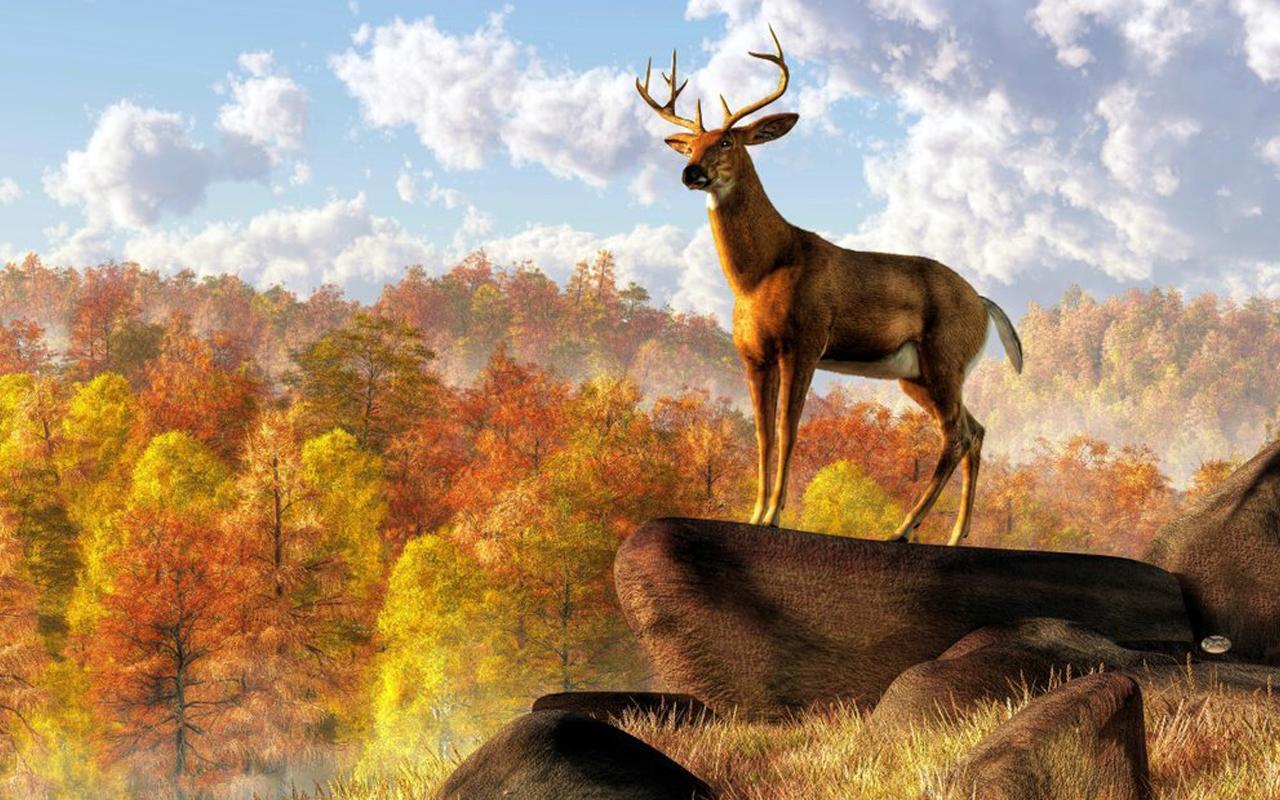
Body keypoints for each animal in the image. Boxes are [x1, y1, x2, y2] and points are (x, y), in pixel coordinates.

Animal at [636, 28, 1023, 545]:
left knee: (956, 434)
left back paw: (902, 530)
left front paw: (775, 515)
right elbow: (761, 433)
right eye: (692, 145)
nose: (690, 173)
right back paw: (954, 534)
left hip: (945, 356)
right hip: (917, 374)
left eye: (728, 142)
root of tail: (983, 302)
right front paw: (754, 514)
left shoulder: (806, 339)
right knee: (975, 429)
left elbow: (788, 428)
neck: (760, 274)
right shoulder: (753, 354)